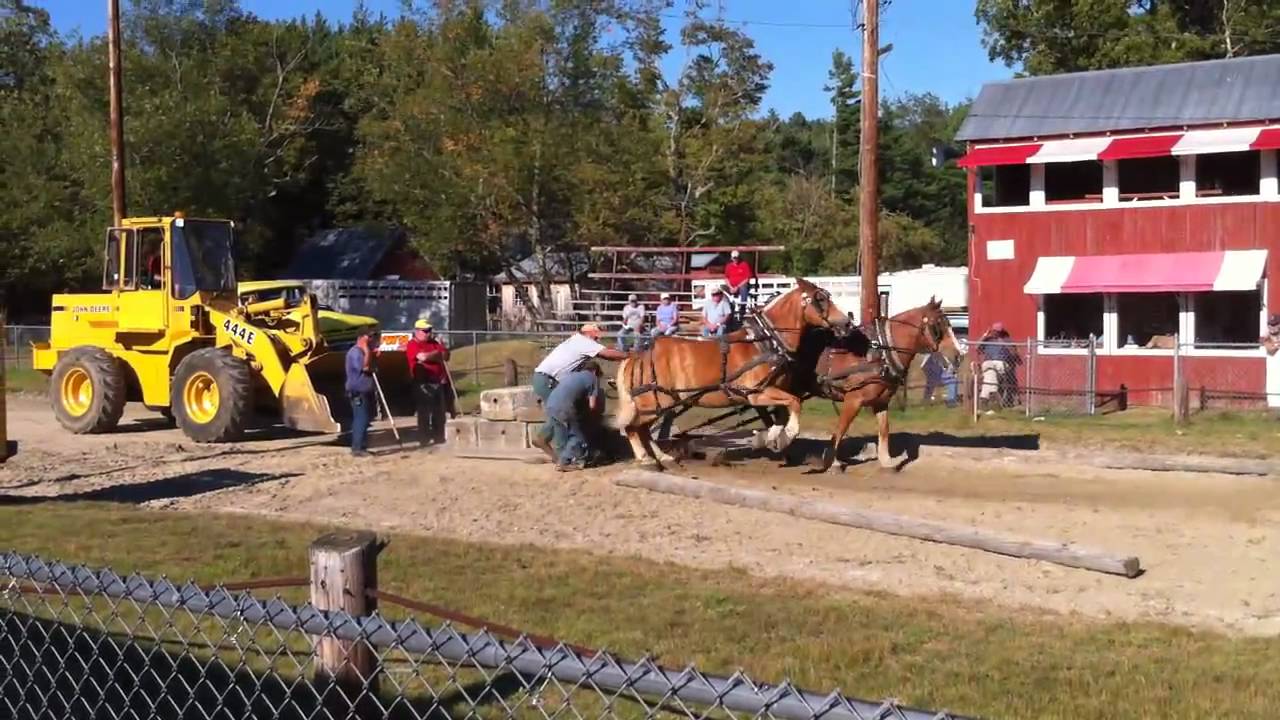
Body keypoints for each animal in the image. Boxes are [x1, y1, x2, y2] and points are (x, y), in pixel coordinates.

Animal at [615, 279, 852, 469]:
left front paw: (770, 438)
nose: (847, 322)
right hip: (654, 402)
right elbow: (794, 403)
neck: (764, 342)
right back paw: (646, 458)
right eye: (820, 299)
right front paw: (785, 436)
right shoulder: (757, 393)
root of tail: (638, 355)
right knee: (633, 428)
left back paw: (663, 457)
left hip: (659, 403)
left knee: (642, 430)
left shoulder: (771, 392)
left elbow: (781, 415)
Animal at [813, 298, 962, 472]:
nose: (959, 355)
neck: (879, 354)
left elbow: (884, 429)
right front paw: (832, 462)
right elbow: (841, 429)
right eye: (937, 327)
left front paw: (886, 461)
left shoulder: (881, 401)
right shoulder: (853, 400)